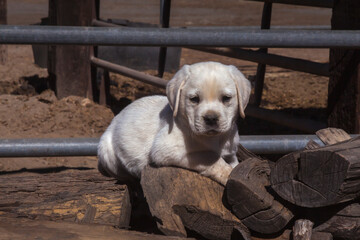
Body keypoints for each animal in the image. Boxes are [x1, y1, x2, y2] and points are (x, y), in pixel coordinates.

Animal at [97, 61, 252, 185]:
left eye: (226, 98)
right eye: (194, 99)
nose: (211, 118)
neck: (215, 138)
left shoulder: (231, 153)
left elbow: (234, 163)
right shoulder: (166, 149)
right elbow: (211, 157)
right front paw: (228, 174)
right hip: (106, 151)